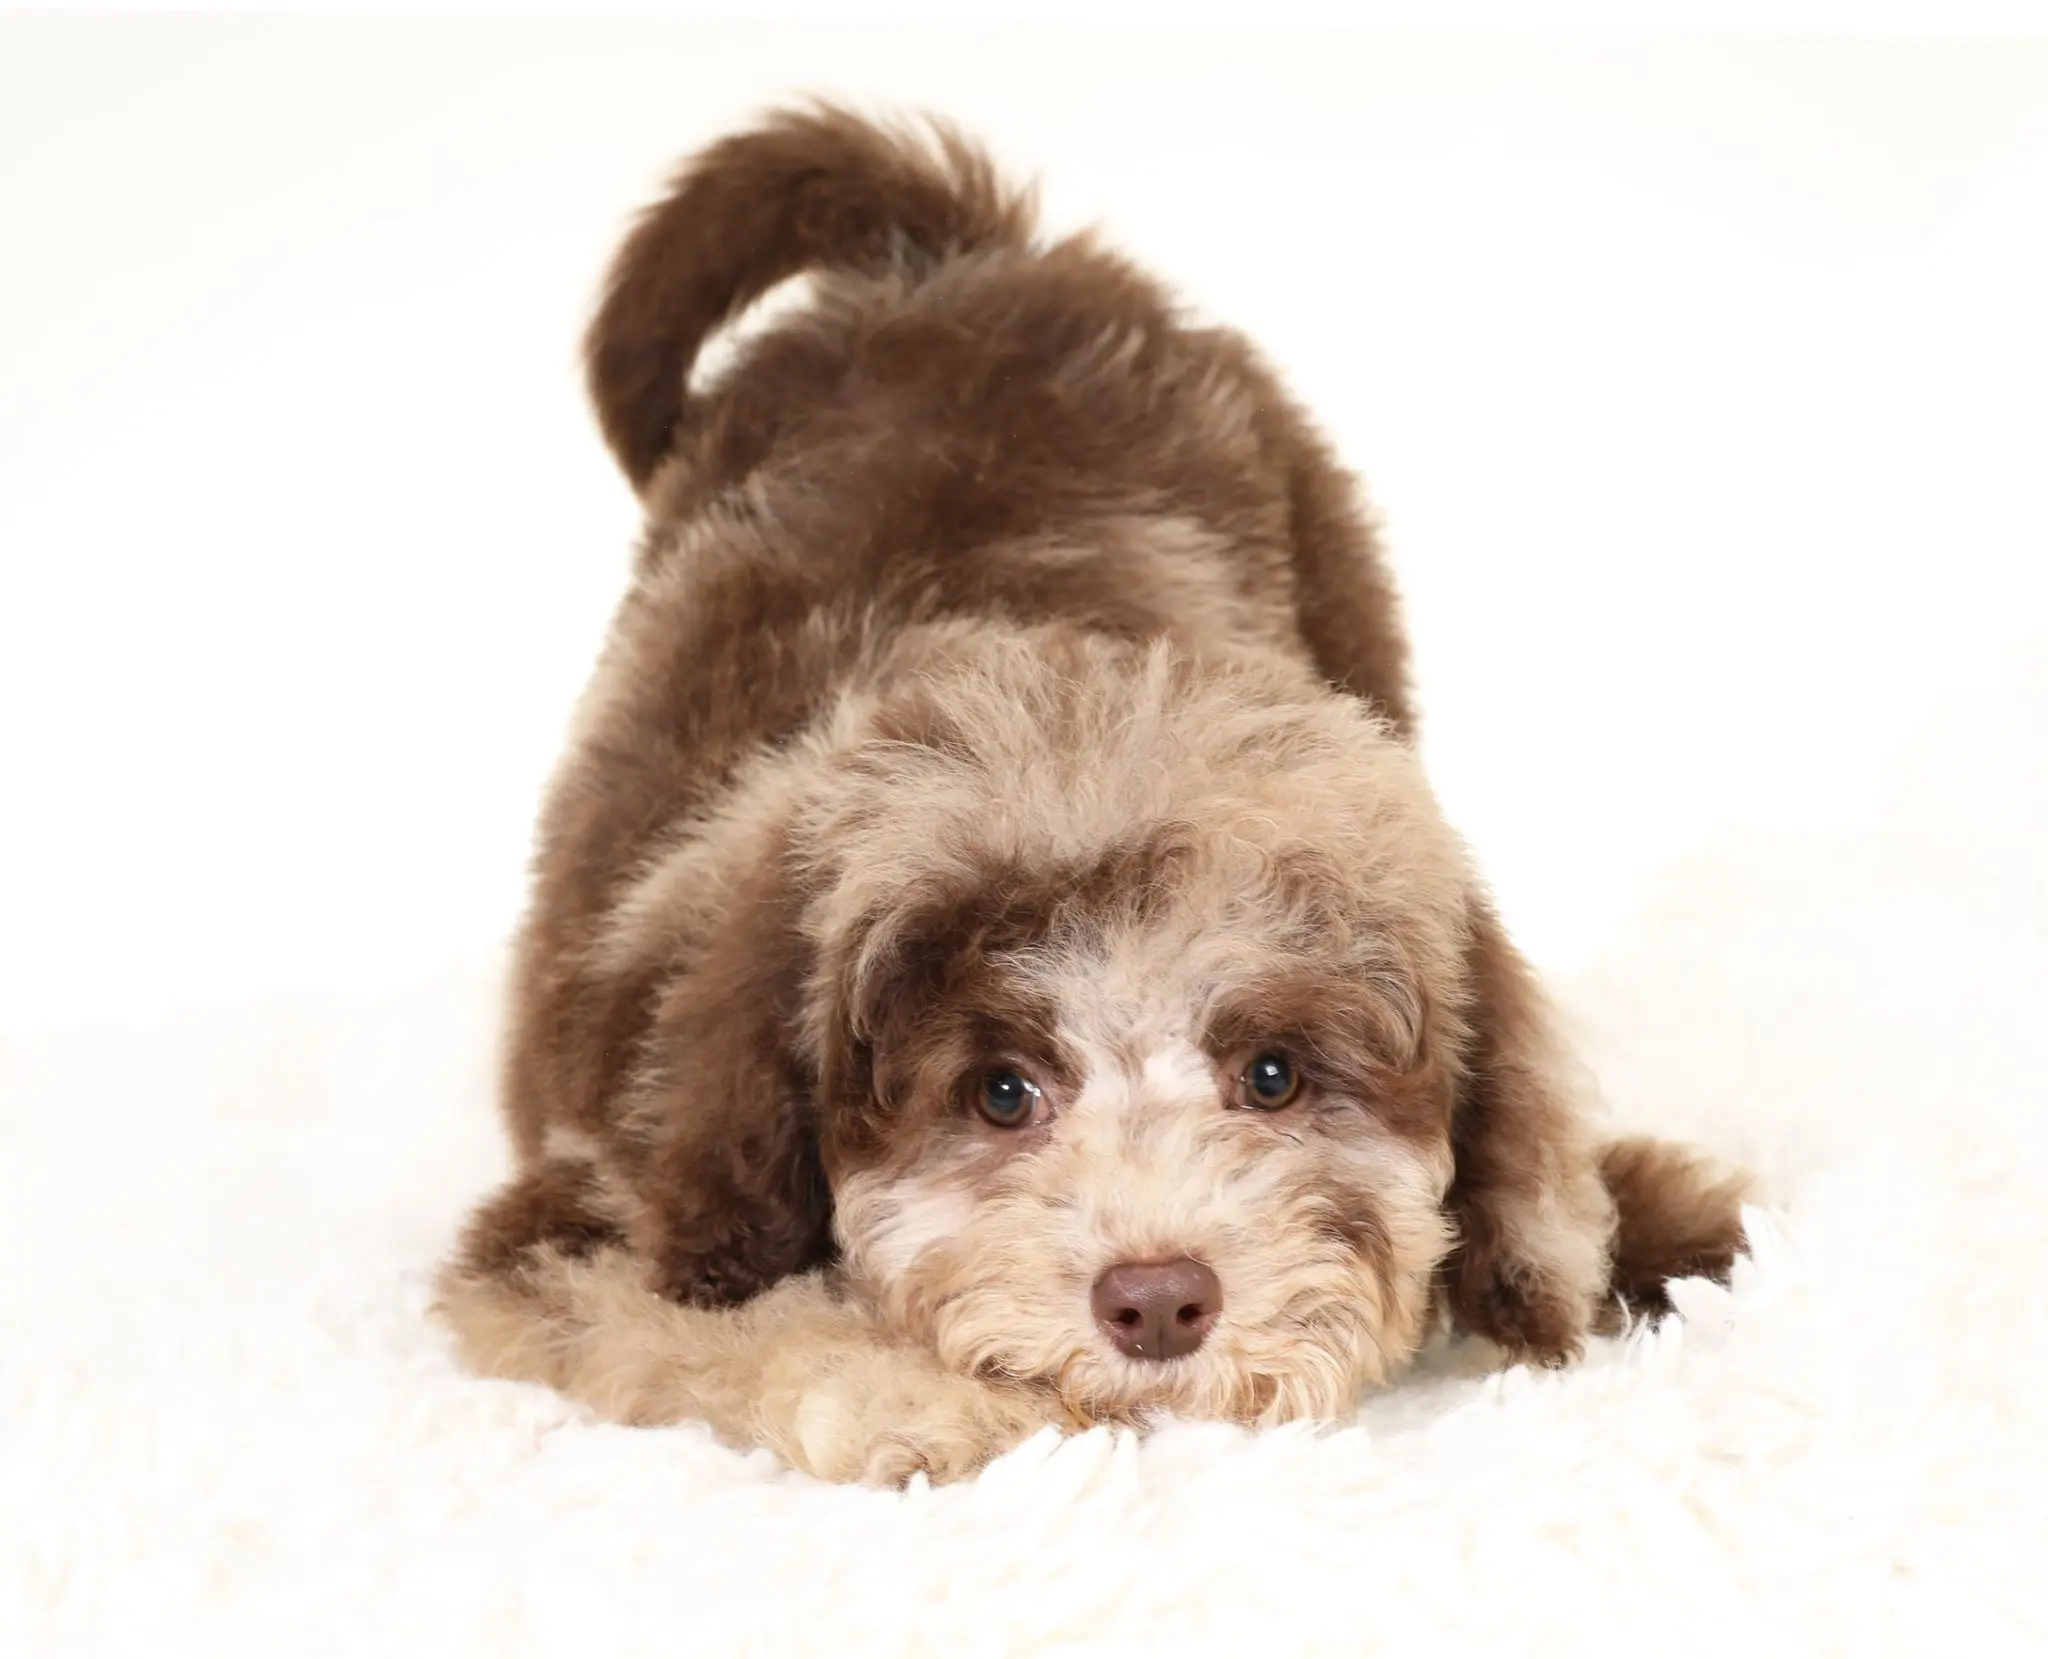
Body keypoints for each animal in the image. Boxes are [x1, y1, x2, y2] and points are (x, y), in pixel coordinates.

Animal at [432, 103, 1744, 1482]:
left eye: (1270, 1076)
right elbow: (725, 1324)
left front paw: (1645, 1223)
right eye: (1000, 1093)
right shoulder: (588, 1216)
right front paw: (926, 1402)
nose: (1158, 1299)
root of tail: (966, 250)